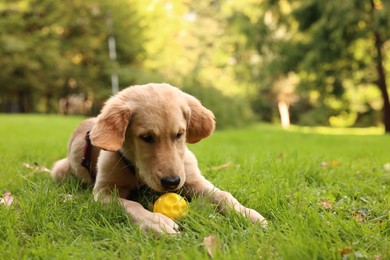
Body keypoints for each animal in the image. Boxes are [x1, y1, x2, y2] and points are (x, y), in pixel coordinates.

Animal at [51, 83, 266, 234]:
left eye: (179, 134)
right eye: (146, 137)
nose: (172, 182)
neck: (138, 173)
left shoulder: (193, 179)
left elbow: (224, 195)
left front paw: (247, 214)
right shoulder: (104, 191)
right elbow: (130, 204)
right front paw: (156, 222)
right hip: (60, 170)